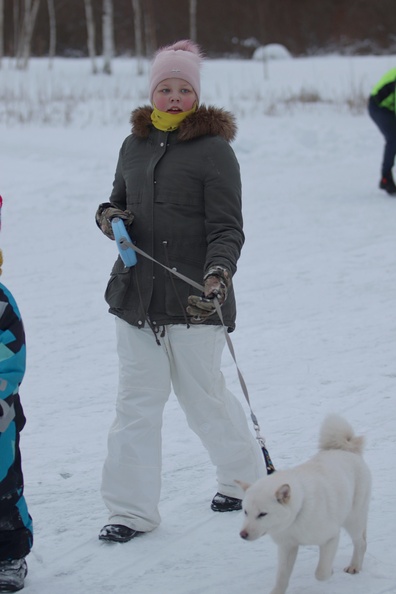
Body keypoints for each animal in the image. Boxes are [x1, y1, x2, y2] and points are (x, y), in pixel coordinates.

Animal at [238, 414, 372, 592]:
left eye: (262, 514)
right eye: (245, 512)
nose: (243, 534)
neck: (297, 514)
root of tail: (346, 449)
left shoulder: (331, 536)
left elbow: (321, 573)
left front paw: (329, 571)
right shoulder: (287, 546)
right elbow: (282, 577)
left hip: (353, 520)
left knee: (361, 542)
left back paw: (354, 566)